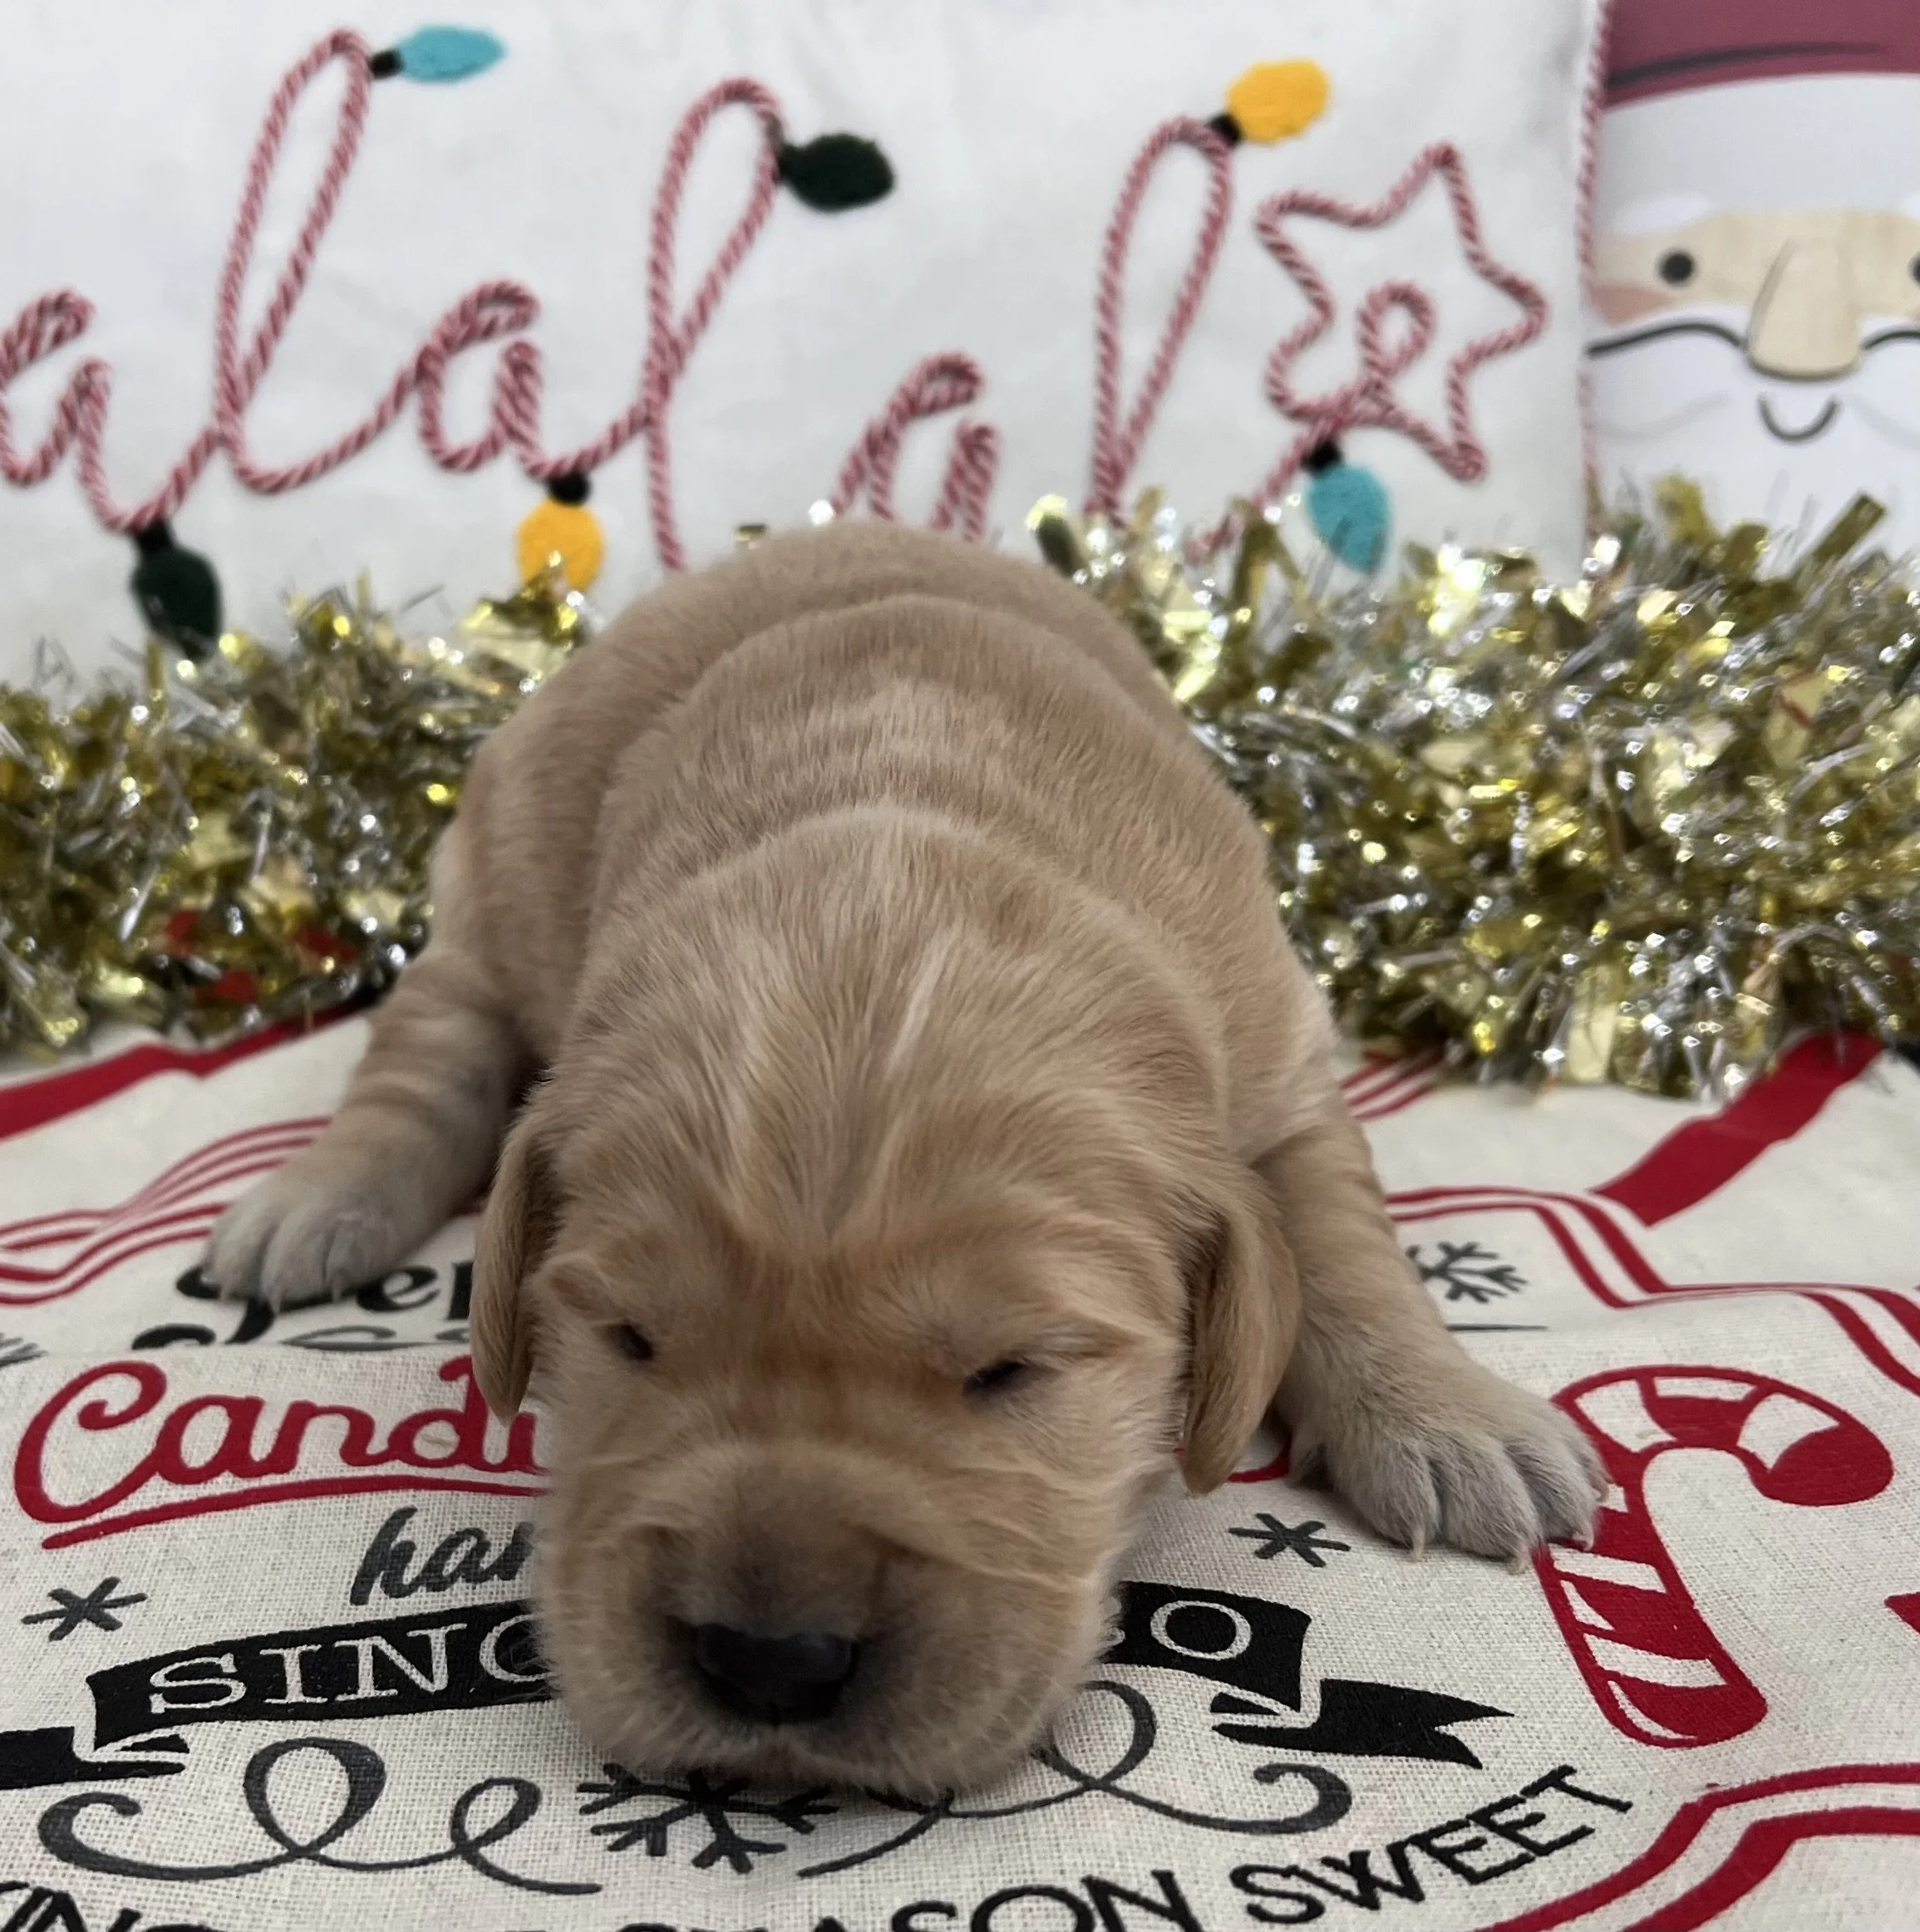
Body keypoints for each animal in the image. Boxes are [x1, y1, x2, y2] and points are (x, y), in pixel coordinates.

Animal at [205, 522, 1601, 1795]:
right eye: (628, 1342)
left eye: (1010, 1372)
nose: (770, 1663)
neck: (902, 861)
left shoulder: (1282, 1062)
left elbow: (1340, 1239)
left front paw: (1447, 1419)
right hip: (497, 865)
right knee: (429, 1045)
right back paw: (311, 1205)